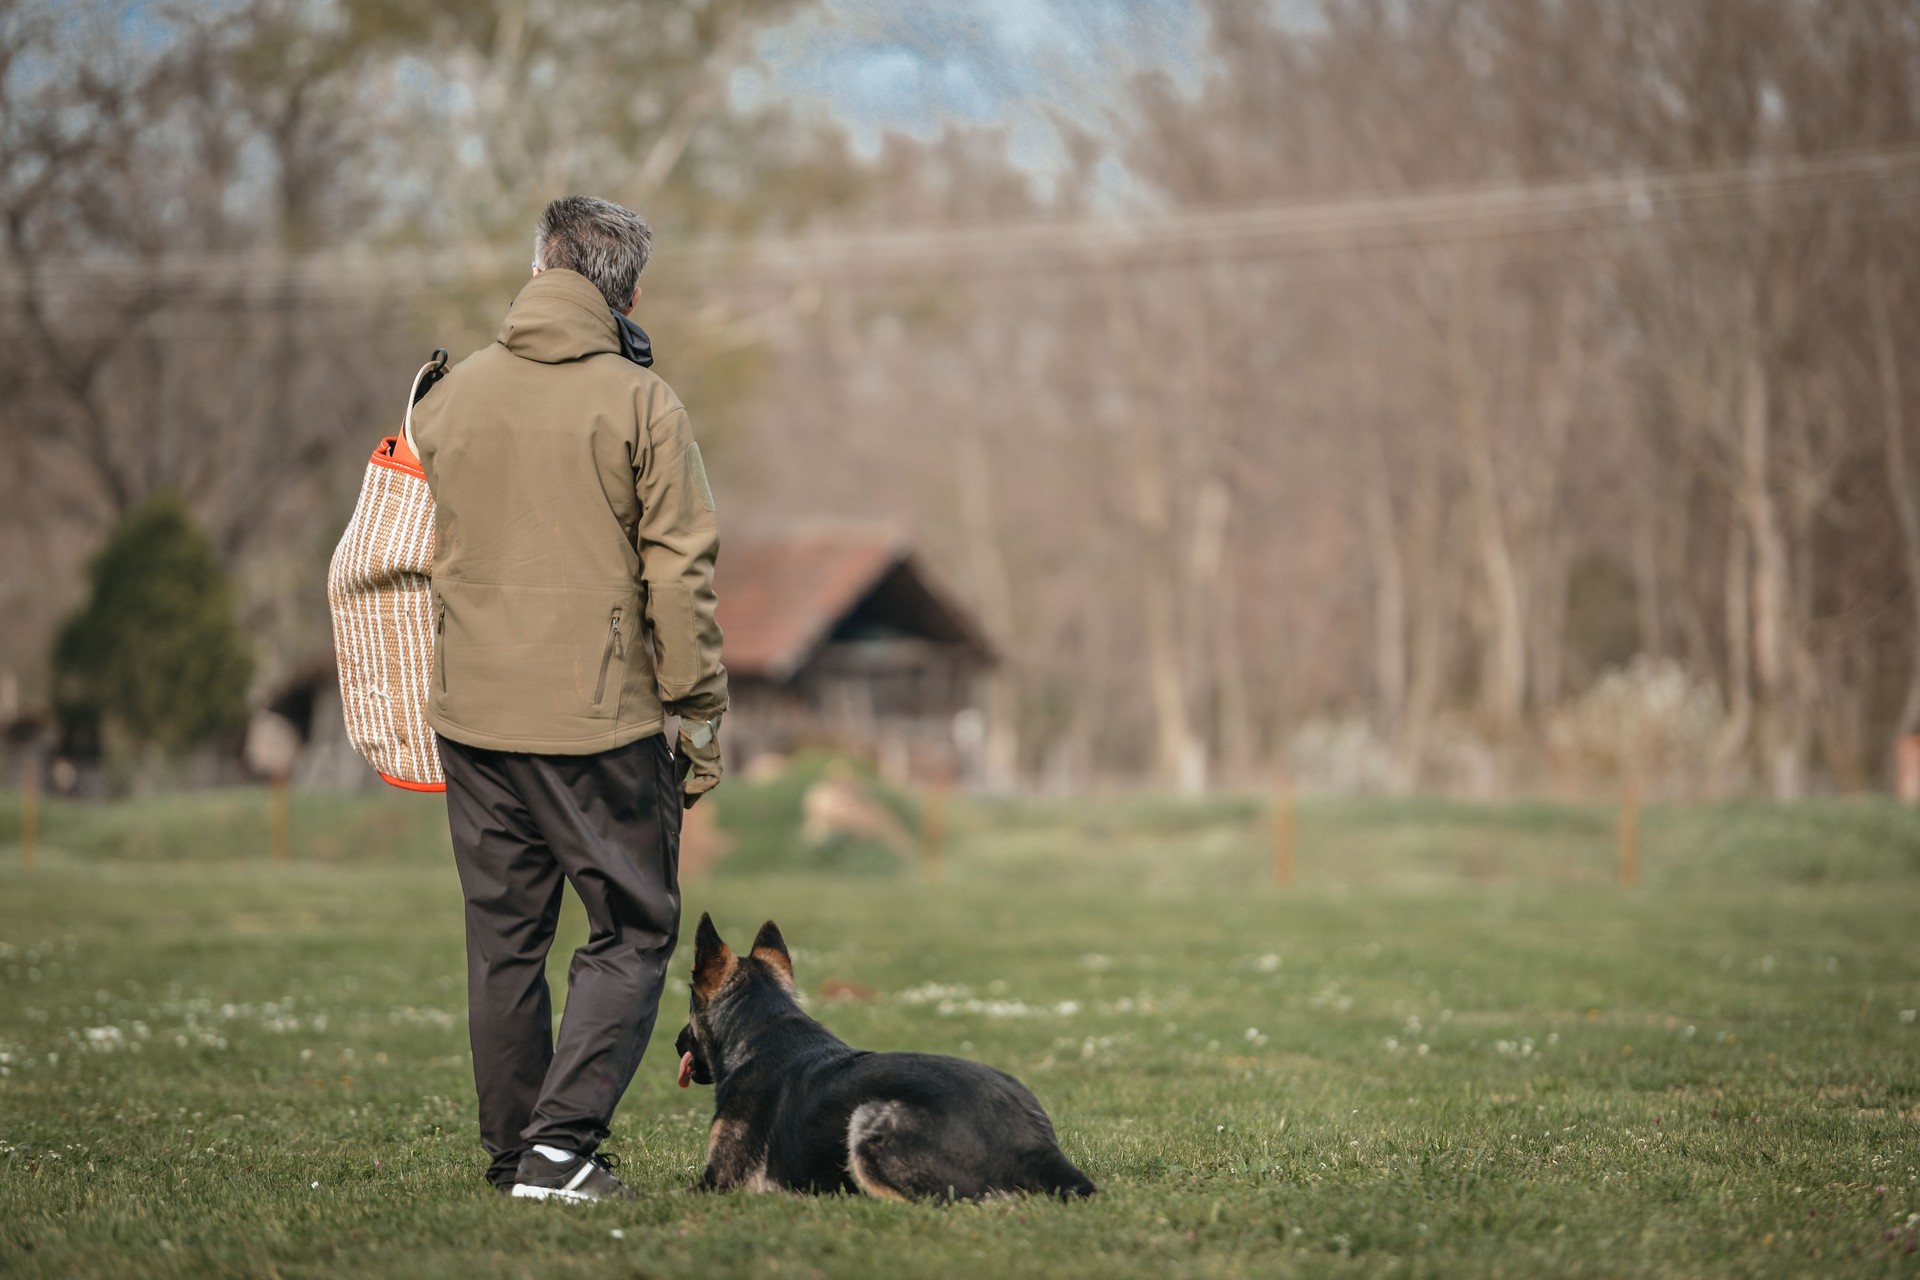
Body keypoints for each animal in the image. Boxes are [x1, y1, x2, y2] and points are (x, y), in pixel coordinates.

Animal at [675, 917, 1098, 1205]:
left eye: (689, 1003)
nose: (676, 1043)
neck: (762, 1024)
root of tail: (1040, 1150)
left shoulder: (717, 1182)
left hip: (869, 1118)